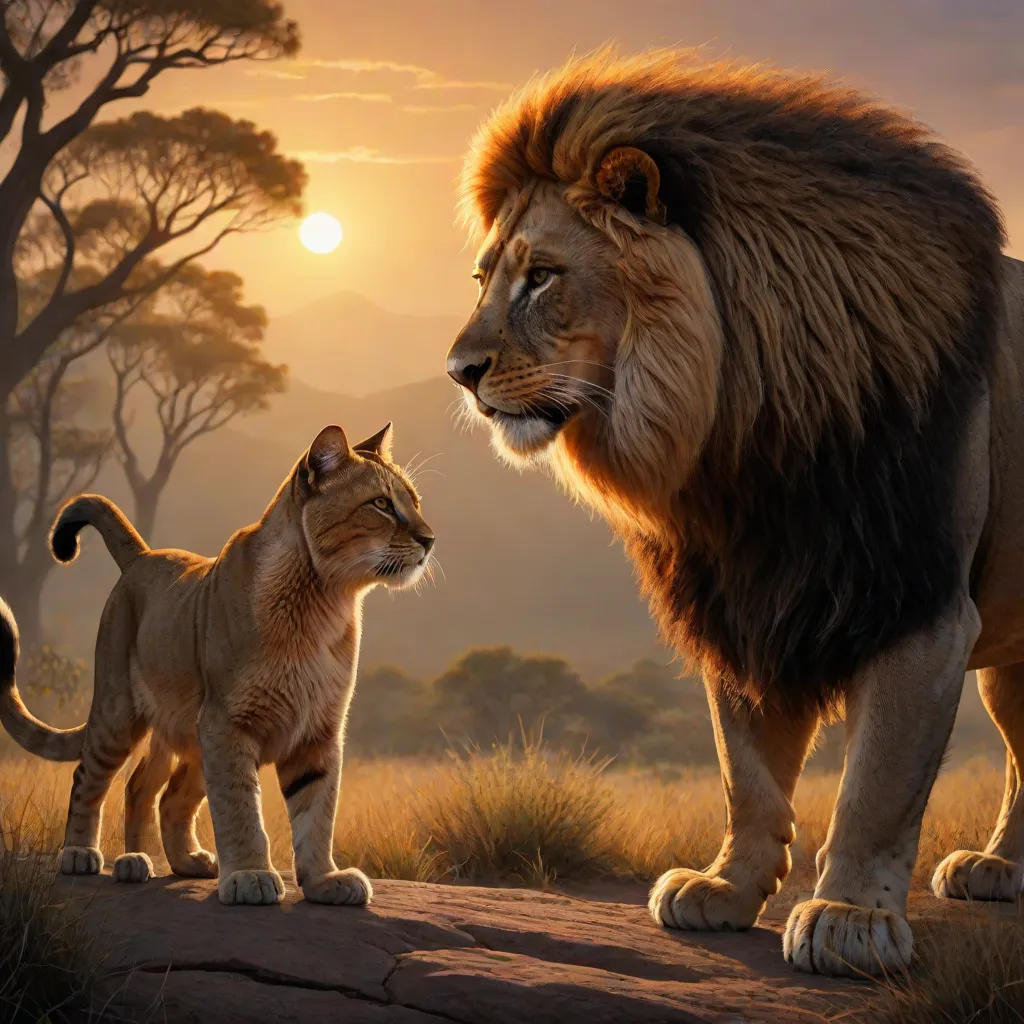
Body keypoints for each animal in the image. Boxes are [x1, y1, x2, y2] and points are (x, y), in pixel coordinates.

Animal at [446, 49, 1024, 976]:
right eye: (484, 280)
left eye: (543, 277)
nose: (459, 371)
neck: (741, 432)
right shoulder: (742, 594)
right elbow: (744, 767)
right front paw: (725, 888)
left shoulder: (918, 605)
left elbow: (878, 784)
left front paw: (849, 918)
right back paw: (998, 868)